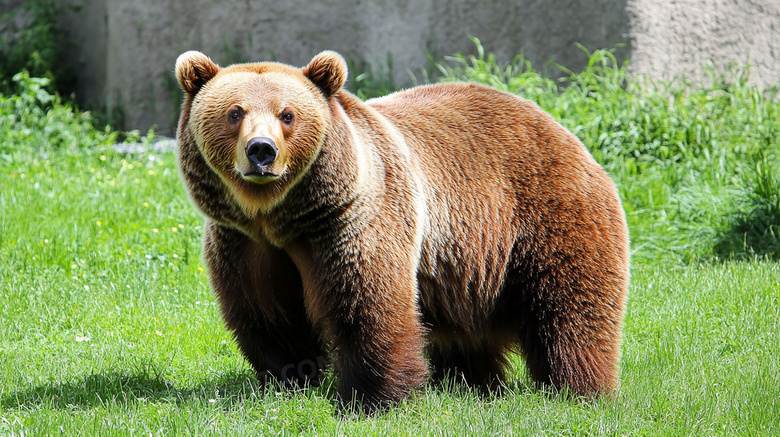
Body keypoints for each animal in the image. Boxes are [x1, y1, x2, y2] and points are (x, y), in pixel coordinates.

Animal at [175, 49, 628, 410]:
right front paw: (289, 380)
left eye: (288, 114)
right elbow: (270, 315)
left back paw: (578, 389)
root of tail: (557, 126)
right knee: (466, 332)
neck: (280, 217)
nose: (261, 151)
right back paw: (472, 383)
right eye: (235, 113)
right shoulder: (245, 244)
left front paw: (370, 398)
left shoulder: (353, 221)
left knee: (571, 310)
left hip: (545, 217)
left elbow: (370, 304)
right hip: (466, 267)